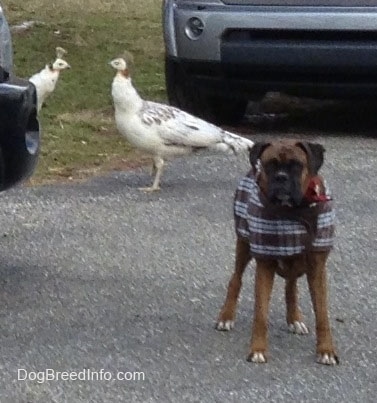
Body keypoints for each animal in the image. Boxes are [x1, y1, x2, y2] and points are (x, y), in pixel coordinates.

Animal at [214, 140, 338, 368]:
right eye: (270, 164)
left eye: (297, 165)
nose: (281, 177)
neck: (294, 212)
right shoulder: (265, 265)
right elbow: (261, 313)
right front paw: (257, 350)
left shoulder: (317, 269)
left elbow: (322, 315)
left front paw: (326, 351)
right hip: (244, 245)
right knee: (236, 279)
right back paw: (226, 317)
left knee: (291, 286)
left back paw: (295, 319)